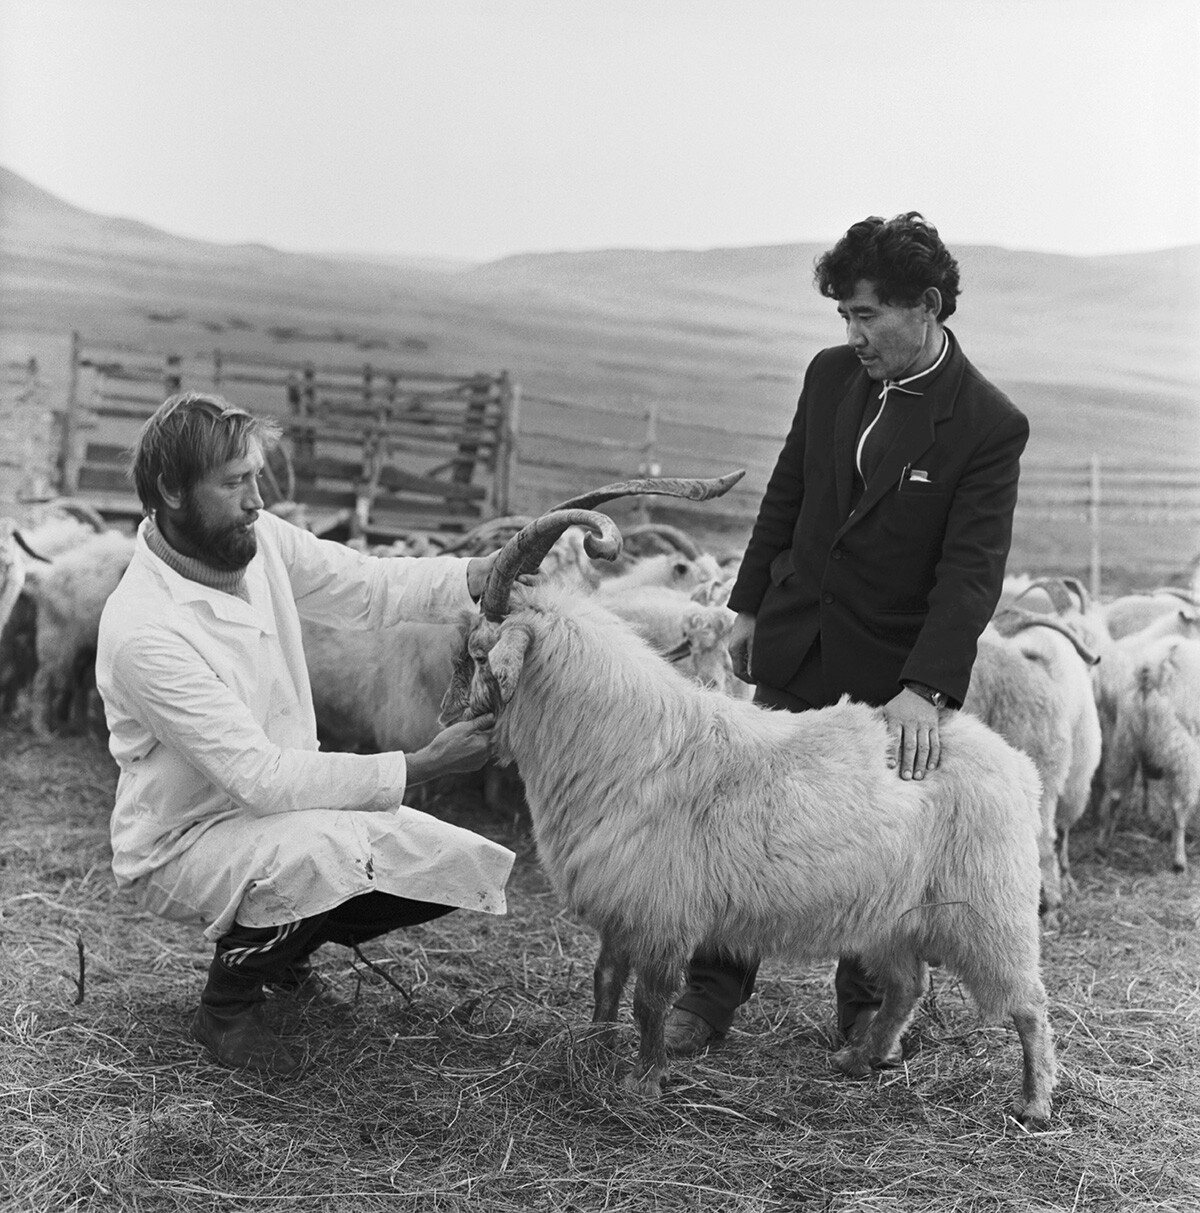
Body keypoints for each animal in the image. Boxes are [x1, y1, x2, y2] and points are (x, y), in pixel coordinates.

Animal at [436, 477, 1048, 1120]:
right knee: (908, 985)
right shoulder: (623, 901)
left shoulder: (663, 909)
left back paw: (1034, 1102)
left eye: (479, 652)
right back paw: (859, 1059)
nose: (447, 718)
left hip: (991, 907)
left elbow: (650, 999)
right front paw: (594, 1048)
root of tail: (1016, 764)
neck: (630, 740)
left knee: (1028, 1002)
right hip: (892, 915)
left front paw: (644, 1082)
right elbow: (605, 979)